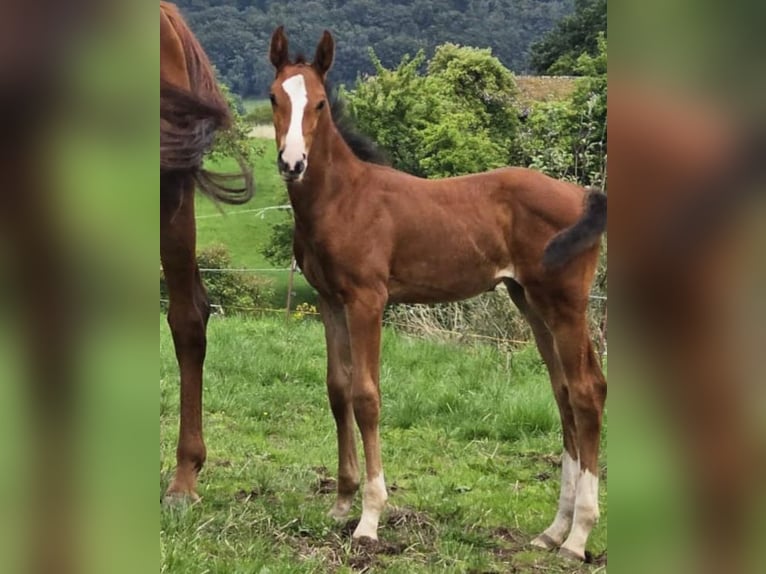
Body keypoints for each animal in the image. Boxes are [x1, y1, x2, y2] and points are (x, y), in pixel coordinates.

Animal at [268, 28, 608, 564]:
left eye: (320, 103)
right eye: (273, 98)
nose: (292, 162)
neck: (344, 198)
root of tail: (582, 195)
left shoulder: (367, 300)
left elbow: (366, 396)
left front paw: (369, 519)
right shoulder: (329, 300)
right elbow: (337, 389)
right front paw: (341, 504)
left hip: (566, 303)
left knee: (588, 390)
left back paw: (577, 539)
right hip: (530, 301)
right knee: (564, 393)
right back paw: (553, 531)